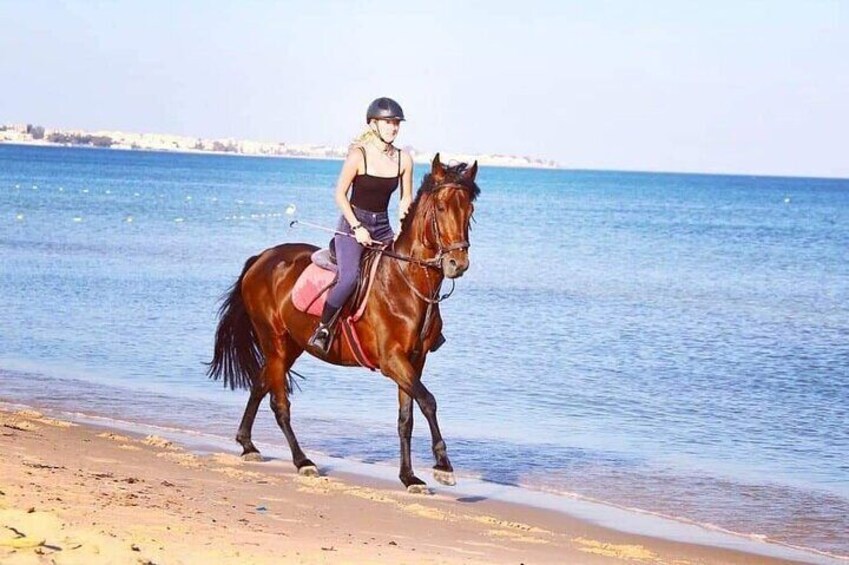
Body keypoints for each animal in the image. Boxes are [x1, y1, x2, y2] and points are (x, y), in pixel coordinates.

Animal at [207, 153, 476, 490]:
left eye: (470, 211)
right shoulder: (392, 360)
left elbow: (406, 419)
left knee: (259, 384)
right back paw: (303, 461)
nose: (457, 264)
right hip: (274, 340)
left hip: (291, 345)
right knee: (279, 404)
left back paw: (247, 444)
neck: (405, 282)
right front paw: (443, 465)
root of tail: (263, 257)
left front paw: (409, 476)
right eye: (441, 208)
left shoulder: (415, 359)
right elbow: (428, 401)